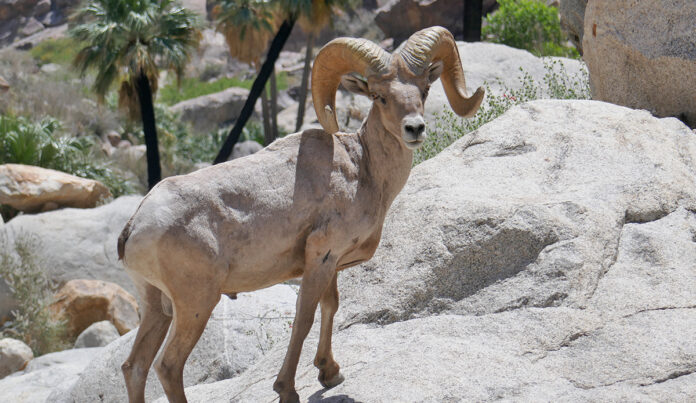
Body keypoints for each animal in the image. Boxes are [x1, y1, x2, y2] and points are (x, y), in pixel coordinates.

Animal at [117, 26, 484, 403]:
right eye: (379, 96)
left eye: (424, 89)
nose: (414, 129)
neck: (362, 167)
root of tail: (135, 227)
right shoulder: (320, 255)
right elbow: (304, 318)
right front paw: (288, 389)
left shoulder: (331, 263)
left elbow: (330, 306)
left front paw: (330, 372)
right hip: (196, 304)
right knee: (168, 366)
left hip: (156, 307)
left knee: (135, 367)